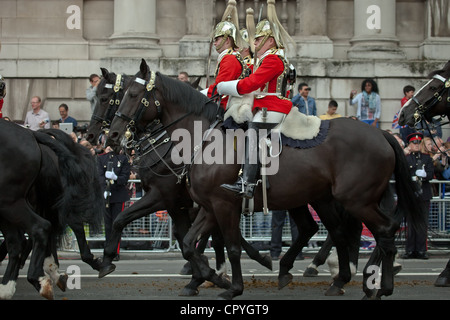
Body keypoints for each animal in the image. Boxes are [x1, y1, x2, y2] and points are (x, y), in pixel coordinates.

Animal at [107, 60, 428, 300]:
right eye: (118, 96)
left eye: (132, 95)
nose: (112, 135)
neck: (202, 138)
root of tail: (381, 133)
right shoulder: (208, 206)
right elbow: (188, 243)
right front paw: (212, 277)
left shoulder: (217, 204)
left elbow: (231, 246)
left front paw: (231, 286)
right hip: (329, 198)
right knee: (347, 231)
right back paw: (347, 280)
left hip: (355, 199)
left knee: (381, 230)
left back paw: (374, 285)